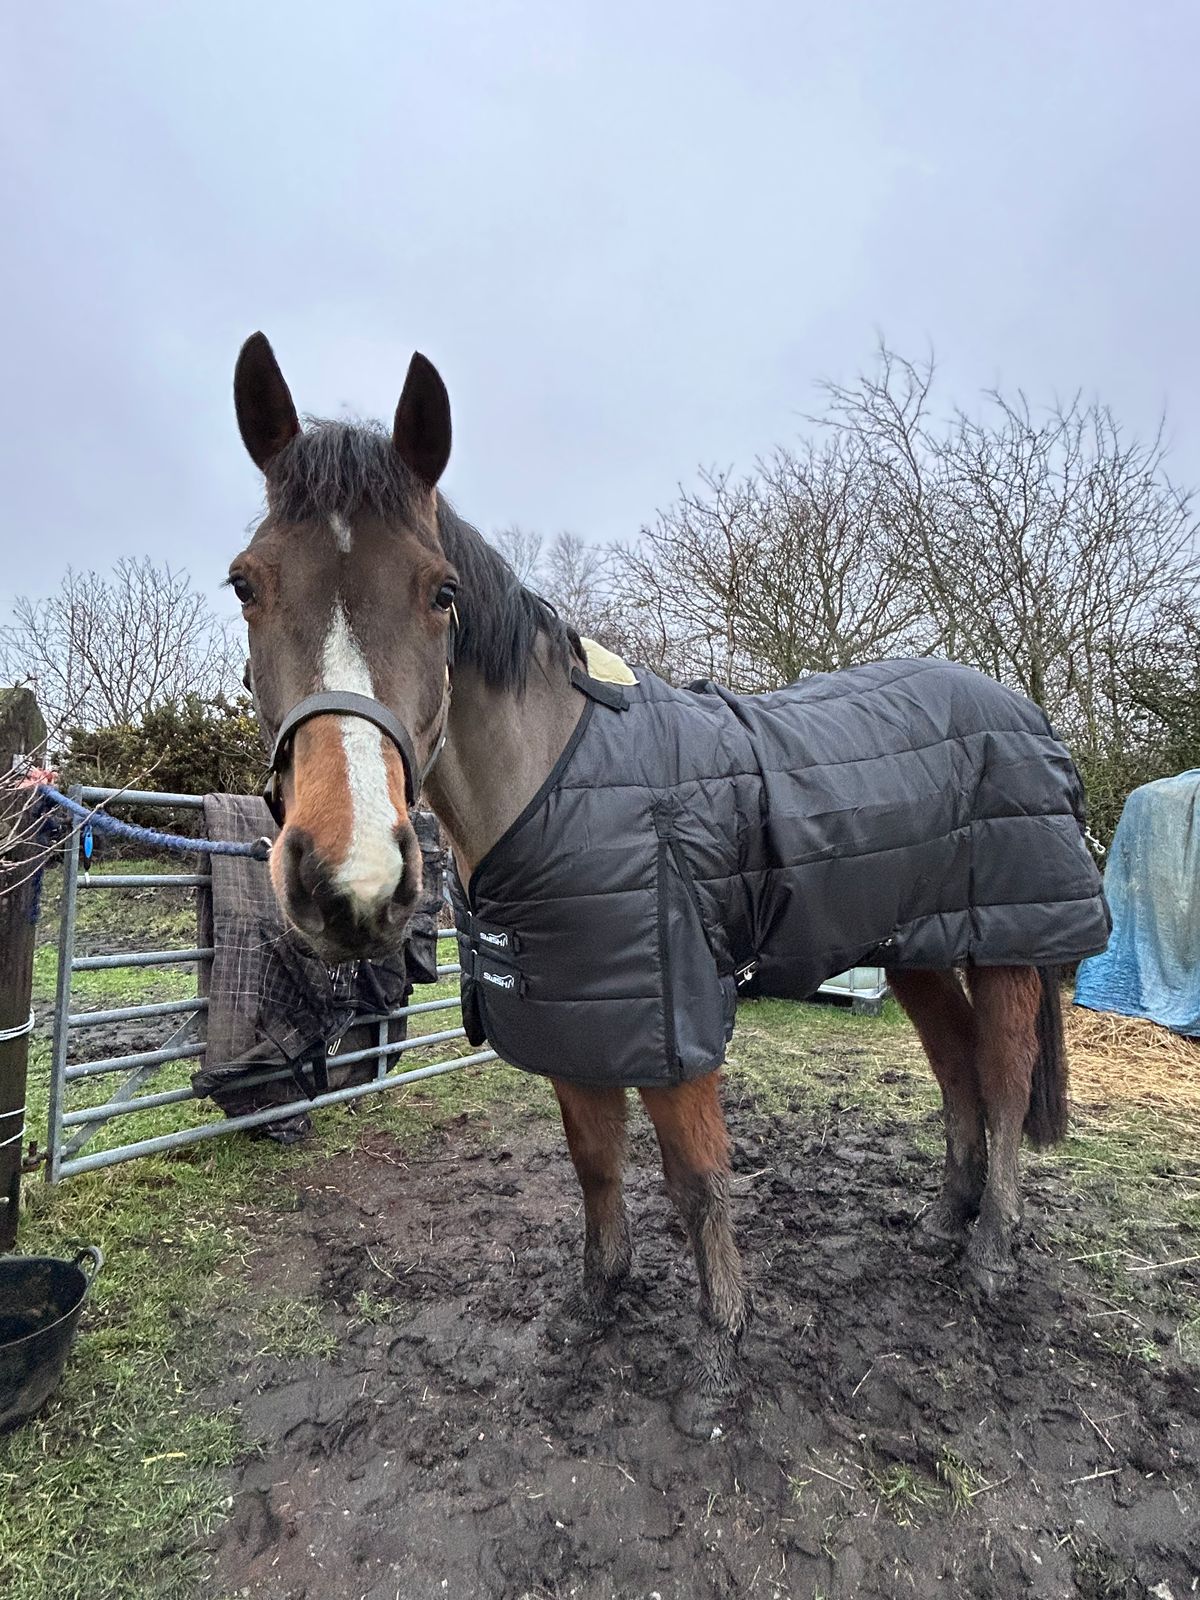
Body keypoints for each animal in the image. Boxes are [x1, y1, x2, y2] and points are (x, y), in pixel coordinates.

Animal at [227, 333, 1107, 1437]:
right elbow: (595, 1163)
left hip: (1007, 950)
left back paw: (990, 1255)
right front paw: (596, 1301)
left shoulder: (671, 1018)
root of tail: (1020, 709)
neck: (559, 784)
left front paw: (720, 1352)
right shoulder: (575, 1013)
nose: (352, 877)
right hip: (914, 948)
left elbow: (697, 1182)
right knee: (955, 1075)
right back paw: (944, 1223)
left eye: (441, 592)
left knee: (999, 1084)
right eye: (247, 584)